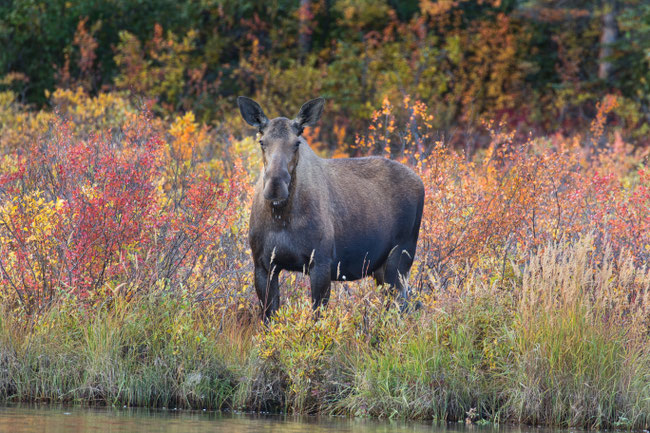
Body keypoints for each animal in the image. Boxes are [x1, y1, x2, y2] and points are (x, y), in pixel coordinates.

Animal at [235, 96, 422, 318]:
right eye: (262, 141)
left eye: (297, 143)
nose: (275, 186)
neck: (281, 217)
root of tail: (420, 182)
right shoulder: (263, 265)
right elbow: (269, 316)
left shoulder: (321, 262)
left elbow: (318, 316)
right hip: (381, 267)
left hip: (401, 256)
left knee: (401, 307)